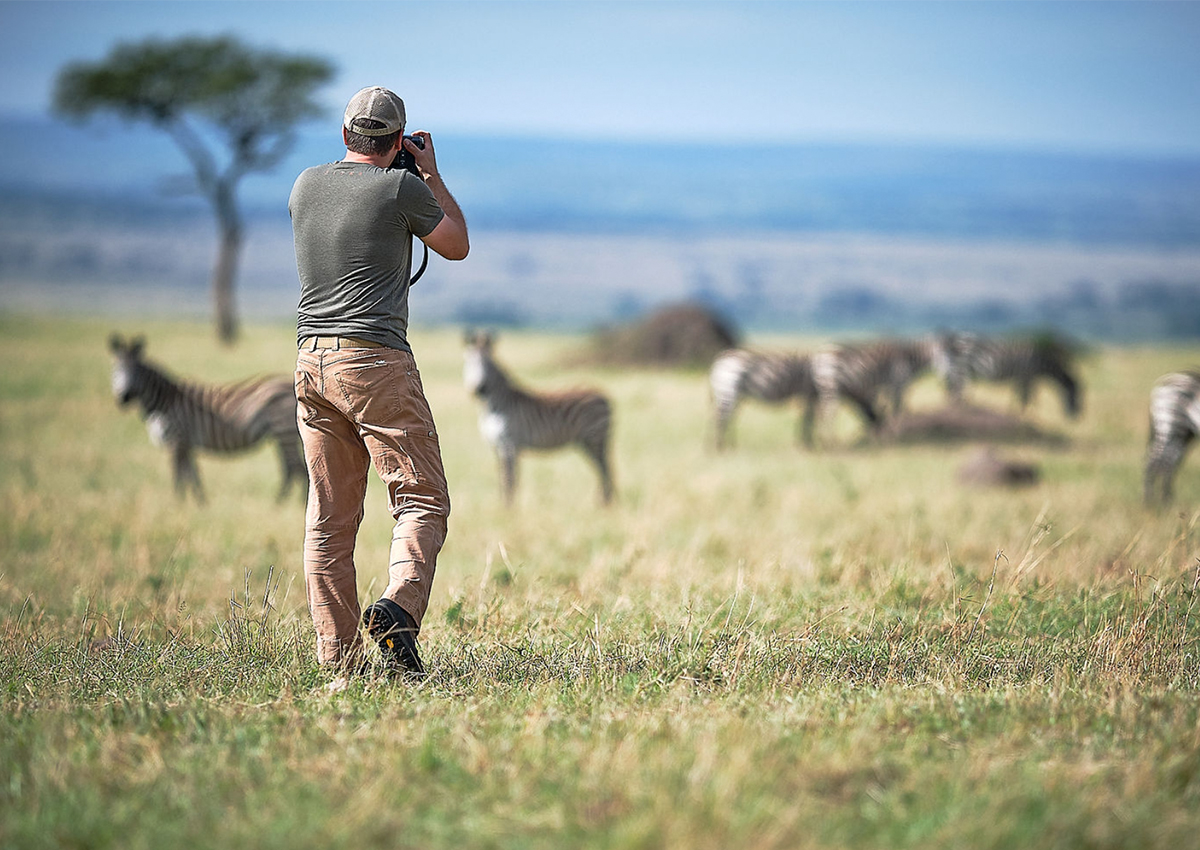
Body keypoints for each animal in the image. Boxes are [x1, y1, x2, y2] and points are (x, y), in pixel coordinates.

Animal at [108, 333, 307, 504]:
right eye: (115, 371)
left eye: (135, 372)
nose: (123, 398)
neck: (164, 401)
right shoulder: (186, 444)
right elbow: (193, 475)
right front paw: (200, 503)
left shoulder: (176, 441)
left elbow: (179, 476)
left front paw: (177, 505)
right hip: (281, 436)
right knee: (292, 468)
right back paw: (283, 503)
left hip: (284, 432)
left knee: (297, 467)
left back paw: (288, 504)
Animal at [463, 331, 614, 504]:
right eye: (468, 362)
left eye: (488, 364)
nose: (479, 389)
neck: (494, 406)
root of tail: (603, 395)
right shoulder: (495, 446)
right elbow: (501, 479)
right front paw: (501, 504)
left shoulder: (510, 444)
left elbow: (510, 480)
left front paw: (509, 507)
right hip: (587, 442)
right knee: (603, 469)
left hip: (595, 438)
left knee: (606, 469)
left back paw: (604, 504)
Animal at [940, 331, 1084, 417]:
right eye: (1076, 396)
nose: (1077, 417)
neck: (1042, 360)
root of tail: (950, 338)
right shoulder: (1027, 374)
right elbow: (1027, 396)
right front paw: (1025, 415)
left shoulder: (1023, 376)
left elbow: (1022, 395)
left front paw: (1016, 413)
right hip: (961, 368)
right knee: (956, 389)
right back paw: (958, 410)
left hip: (956, 367)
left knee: (951, 388)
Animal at [1142, 369, 1200, 504]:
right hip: (1170, 425)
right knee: (1158, 461)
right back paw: (1152, 503)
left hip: (1182, 433)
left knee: (1170, 462)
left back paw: (1165, 501)